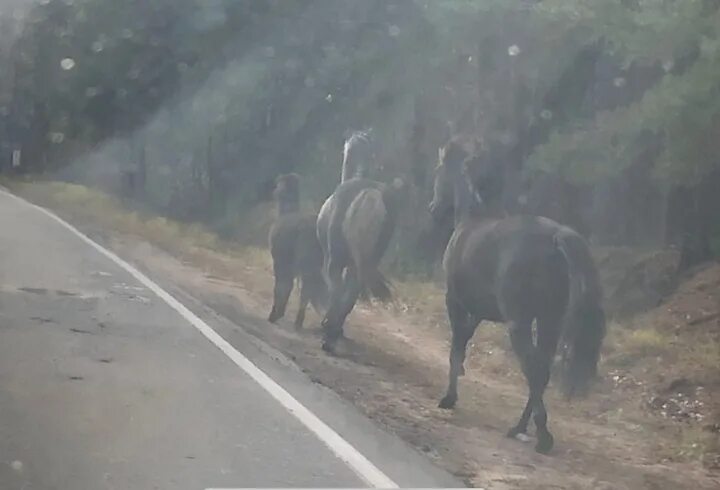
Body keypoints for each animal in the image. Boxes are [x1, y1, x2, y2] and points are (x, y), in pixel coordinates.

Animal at [268, 172, 328, 330]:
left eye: (280, 183)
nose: (274, 190)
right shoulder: (290, 265)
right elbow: (286, 286)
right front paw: (278, 312)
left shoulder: (281, 261)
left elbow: (281, 286)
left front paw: (276, 313)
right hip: (315, 265)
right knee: (313, 289)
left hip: (306, 262)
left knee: (307, 290)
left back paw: (298, 321)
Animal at [318, 130, 402, 352]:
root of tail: (371, 195)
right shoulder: (353, 264)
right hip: (364, 261)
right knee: (352, 294)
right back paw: (334, 331)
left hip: (336, 259)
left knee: (338, 290)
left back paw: (328, 334)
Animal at [428, 140, 608, 454]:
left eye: (439, 171)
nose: (434, 208)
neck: (471, 220)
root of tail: (557, 237)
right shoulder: (478, 313)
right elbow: (463, 342)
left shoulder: (455, 302)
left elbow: (455, 348)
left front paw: (449, 398)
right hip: (549, 321)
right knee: (541, 371)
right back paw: (521, 428)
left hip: (520, 323)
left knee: (533, 369)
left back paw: (541, 435)